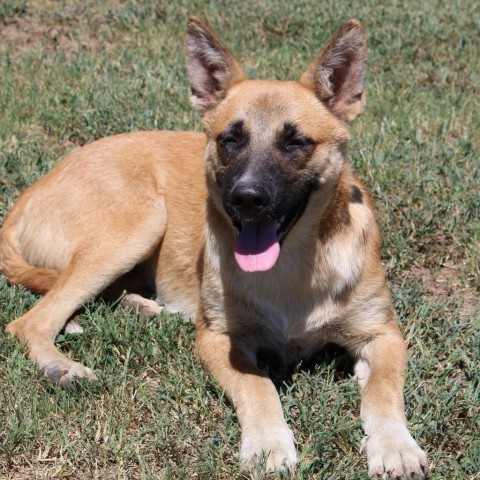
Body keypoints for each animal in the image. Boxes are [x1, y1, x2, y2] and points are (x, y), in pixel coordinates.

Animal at [0, 16, 428, 478]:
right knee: (29, 323)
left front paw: (394, 444)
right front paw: (268, 442)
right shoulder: (220, 338)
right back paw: (61, 365)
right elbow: (258, 385)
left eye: (296, 142)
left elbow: (383, 392)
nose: (246, 198)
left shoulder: (383, 335)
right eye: (230, 139)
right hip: (140, 222)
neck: (294, 267)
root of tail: (29, 193)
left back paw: (139, 306)